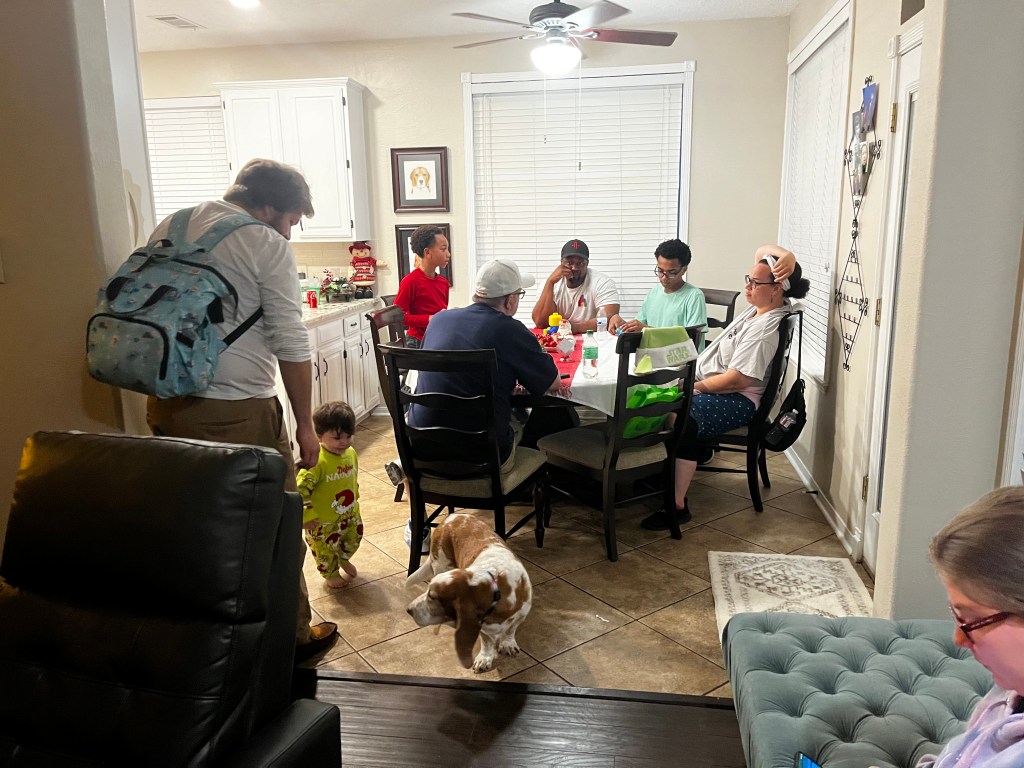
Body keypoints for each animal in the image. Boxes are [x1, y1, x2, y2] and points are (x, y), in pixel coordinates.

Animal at [406, 513, 531, 673]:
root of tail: (450, 517)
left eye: (432, 597)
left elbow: (510, 629)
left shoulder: (522, 614)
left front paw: (507, 644)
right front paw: (485, 658)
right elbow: (487, 641)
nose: (408, 610)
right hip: (441, 564)